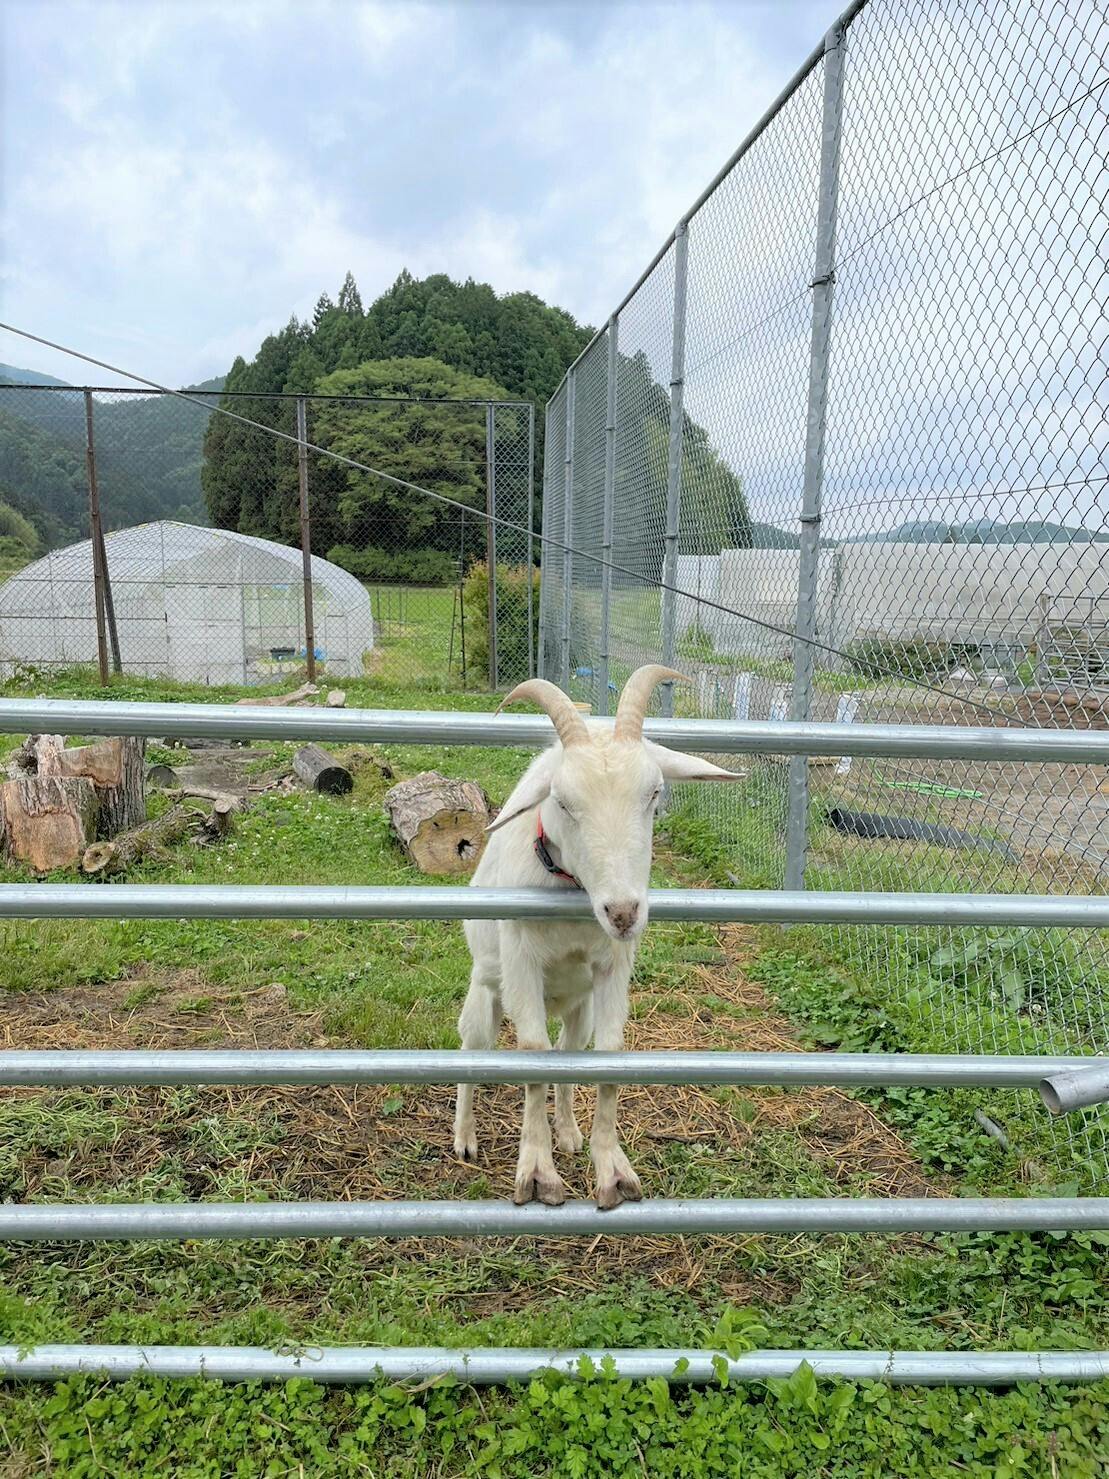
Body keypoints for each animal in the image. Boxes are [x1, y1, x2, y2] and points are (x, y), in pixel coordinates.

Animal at [455, 665, 742, 1206]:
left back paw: (568, 1132)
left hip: (577, 1008)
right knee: (471, 1051)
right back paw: (464, 1138)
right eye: (563, 801)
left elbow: (608, 1054)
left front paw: (610, 1168)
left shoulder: (612, 965)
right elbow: (532, 1056)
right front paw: (538, 1172)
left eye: (654, 794)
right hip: (485, 994)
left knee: (569, 1056)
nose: (624, 912)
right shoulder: (521, 961)